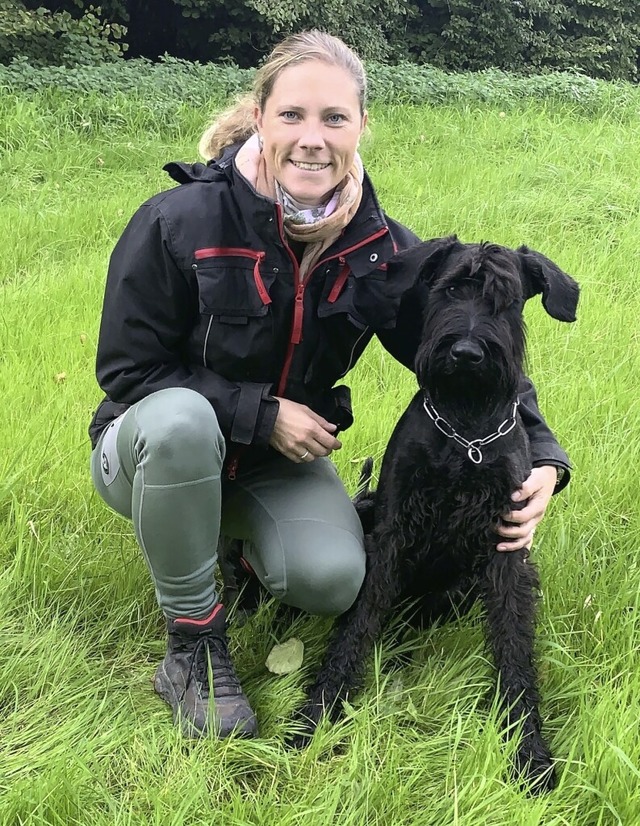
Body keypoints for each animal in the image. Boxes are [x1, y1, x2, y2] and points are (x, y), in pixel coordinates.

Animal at [290, 235, 580, 788]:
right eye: (449, 290)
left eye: (507, 299)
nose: (466, 352)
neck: (466, 429)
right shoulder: (391, 530)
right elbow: (359, 618)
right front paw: (318, 711)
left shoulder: (506, 546)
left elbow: (513, 643)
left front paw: (529, 749)